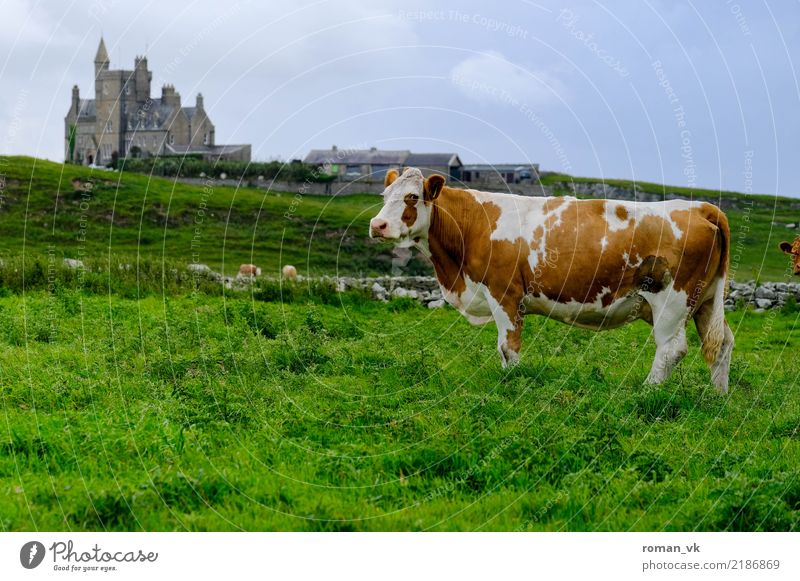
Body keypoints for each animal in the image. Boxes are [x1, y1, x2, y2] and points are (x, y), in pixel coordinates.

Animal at [372, 169, 736, 394]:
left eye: (412, 197)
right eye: (384, 195)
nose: (377, 225)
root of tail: (700, 207)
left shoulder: (504, 292)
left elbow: (508, 347)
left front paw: (511, 383)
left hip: (671, 301)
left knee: (672, 348)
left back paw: (647, 392)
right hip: (706, 301)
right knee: (720, 343)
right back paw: (717, 396)